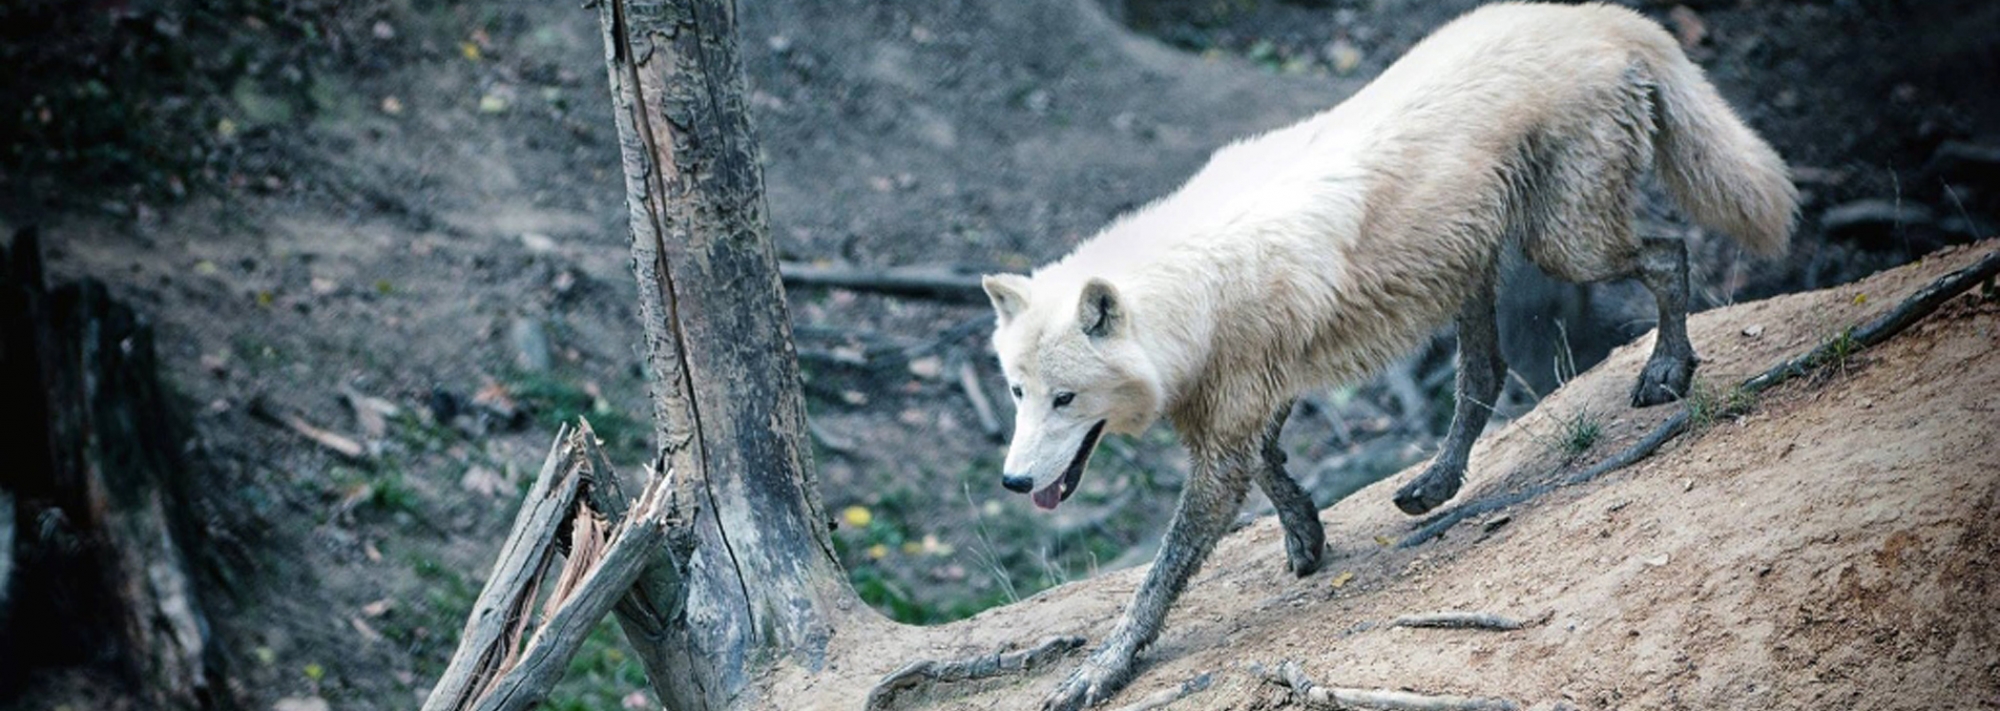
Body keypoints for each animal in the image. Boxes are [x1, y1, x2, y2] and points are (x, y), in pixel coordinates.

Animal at [984, 2, 1800, 707]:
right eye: (1019, 393)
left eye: (1066, 398)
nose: (1015, 481)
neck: (1195, 296)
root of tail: (1597, 17)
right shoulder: (1260, 390)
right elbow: (1273, 466)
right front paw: (1307, 533)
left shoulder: (1233, 422)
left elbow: (1158, 577)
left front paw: (1101, 670)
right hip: (1481, 264)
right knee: (1485, 374)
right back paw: (1434, 486)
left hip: (1565, 246)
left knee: (1669, 254)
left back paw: (1666, 370)